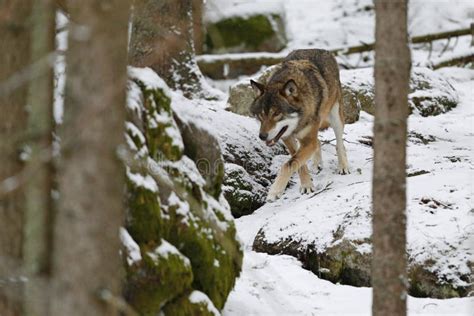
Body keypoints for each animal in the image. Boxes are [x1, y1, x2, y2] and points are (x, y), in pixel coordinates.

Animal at [250, 48, 350, 202]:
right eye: (261, 115)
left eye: (276, 114)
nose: (262, 136)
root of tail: (322, 50)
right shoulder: (288, 138)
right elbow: (297, 163)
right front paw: (307, 185)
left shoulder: (307, 140)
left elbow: (288, 164)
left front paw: (274, 191)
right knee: (318, 141)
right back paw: (316, 164)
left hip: (336, 117)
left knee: (339, 143)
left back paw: (343, 166)